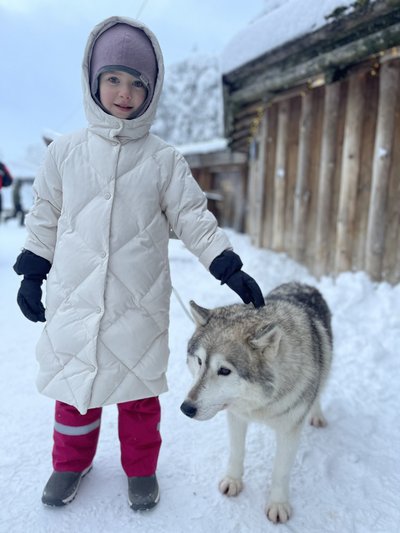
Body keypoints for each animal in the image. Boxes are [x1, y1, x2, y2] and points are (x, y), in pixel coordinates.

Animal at [180, 280, 332, 520]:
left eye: (224, 370)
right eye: (199, 361)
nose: (186, 408)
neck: (261, 405)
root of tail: (302, 283)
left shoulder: (289, 431)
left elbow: (280, 471)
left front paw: (278, 505)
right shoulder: (236, 416)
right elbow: (236, 452)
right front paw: (232, 481)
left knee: (318, 393)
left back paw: (317, 416)